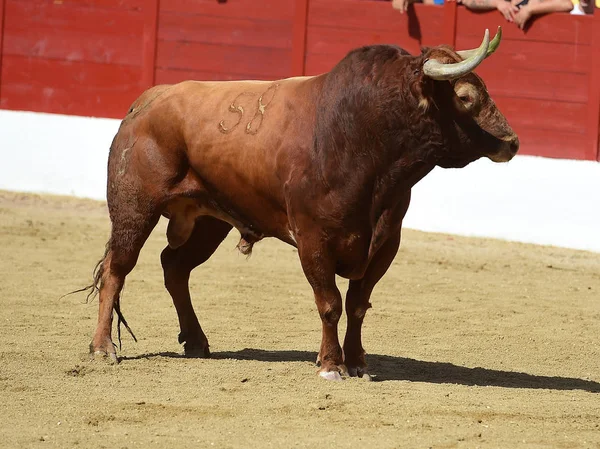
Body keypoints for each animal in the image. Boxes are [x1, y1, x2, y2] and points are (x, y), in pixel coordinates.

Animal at [89, 28, 520, 378]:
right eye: (465, 96)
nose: (512, 142)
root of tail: (148, 100)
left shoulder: (386, 242)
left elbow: (358, 304)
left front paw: (358, 363)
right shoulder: (314, 239)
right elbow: (329, 303)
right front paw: (330, 365)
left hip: (210, 219)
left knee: (175, 267)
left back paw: (196, 341)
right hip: (134, 209)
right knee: (117, 269)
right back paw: (102, 348)